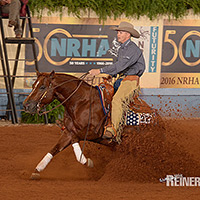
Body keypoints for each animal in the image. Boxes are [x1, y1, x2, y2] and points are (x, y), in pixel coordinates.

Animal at [23, 70, 162, 180]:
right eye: (33, 85)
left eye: (42, 87)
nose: (26, 105)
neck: (81, 101)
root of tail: (155, 117)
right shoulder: (68, 133)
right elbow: (55, 149)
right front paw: (37, 170)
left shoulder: (92, 133)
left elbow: (75, 139)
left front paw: (87, 161)